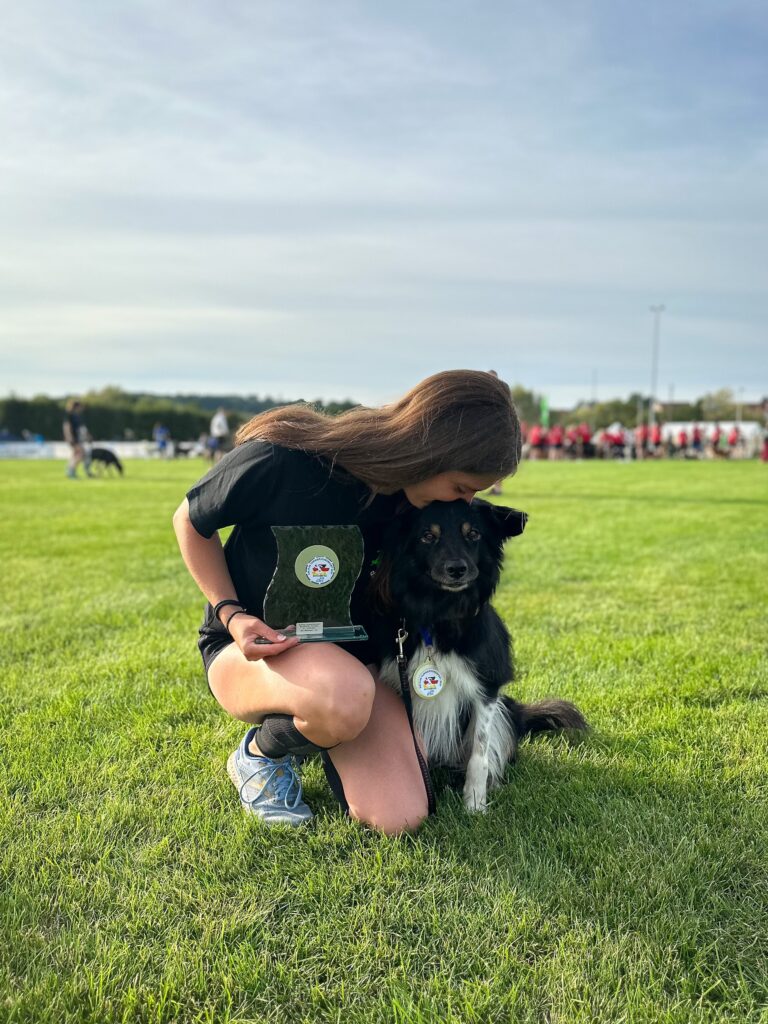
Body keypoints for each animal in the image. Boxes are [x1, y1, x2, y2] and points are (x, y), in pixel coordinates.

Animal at [370, 499, 585, 811]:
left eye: (473, 534)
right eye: (427, 536)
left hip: (504, 710)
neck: (441, 614)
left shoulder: (487, 688)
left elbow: (479, 753)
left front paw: (474, 804)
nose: (457, 569)